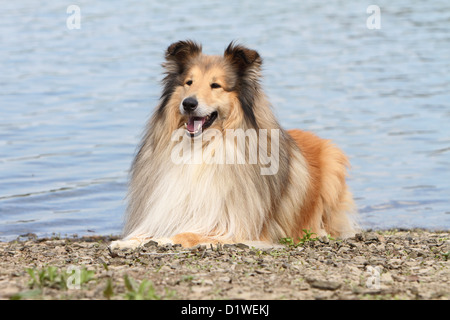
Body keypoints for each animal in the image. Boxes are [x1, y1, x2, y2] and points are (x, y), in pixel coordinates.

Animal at [110, 40, 358, 250]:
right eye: (189, 82)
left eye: (216, 85)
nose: (188, 103)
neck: (202, 148)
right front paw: (128, 241)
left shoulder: (235, 227)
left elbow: (187, 234)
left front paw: (165, 239)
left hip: (333, 166)